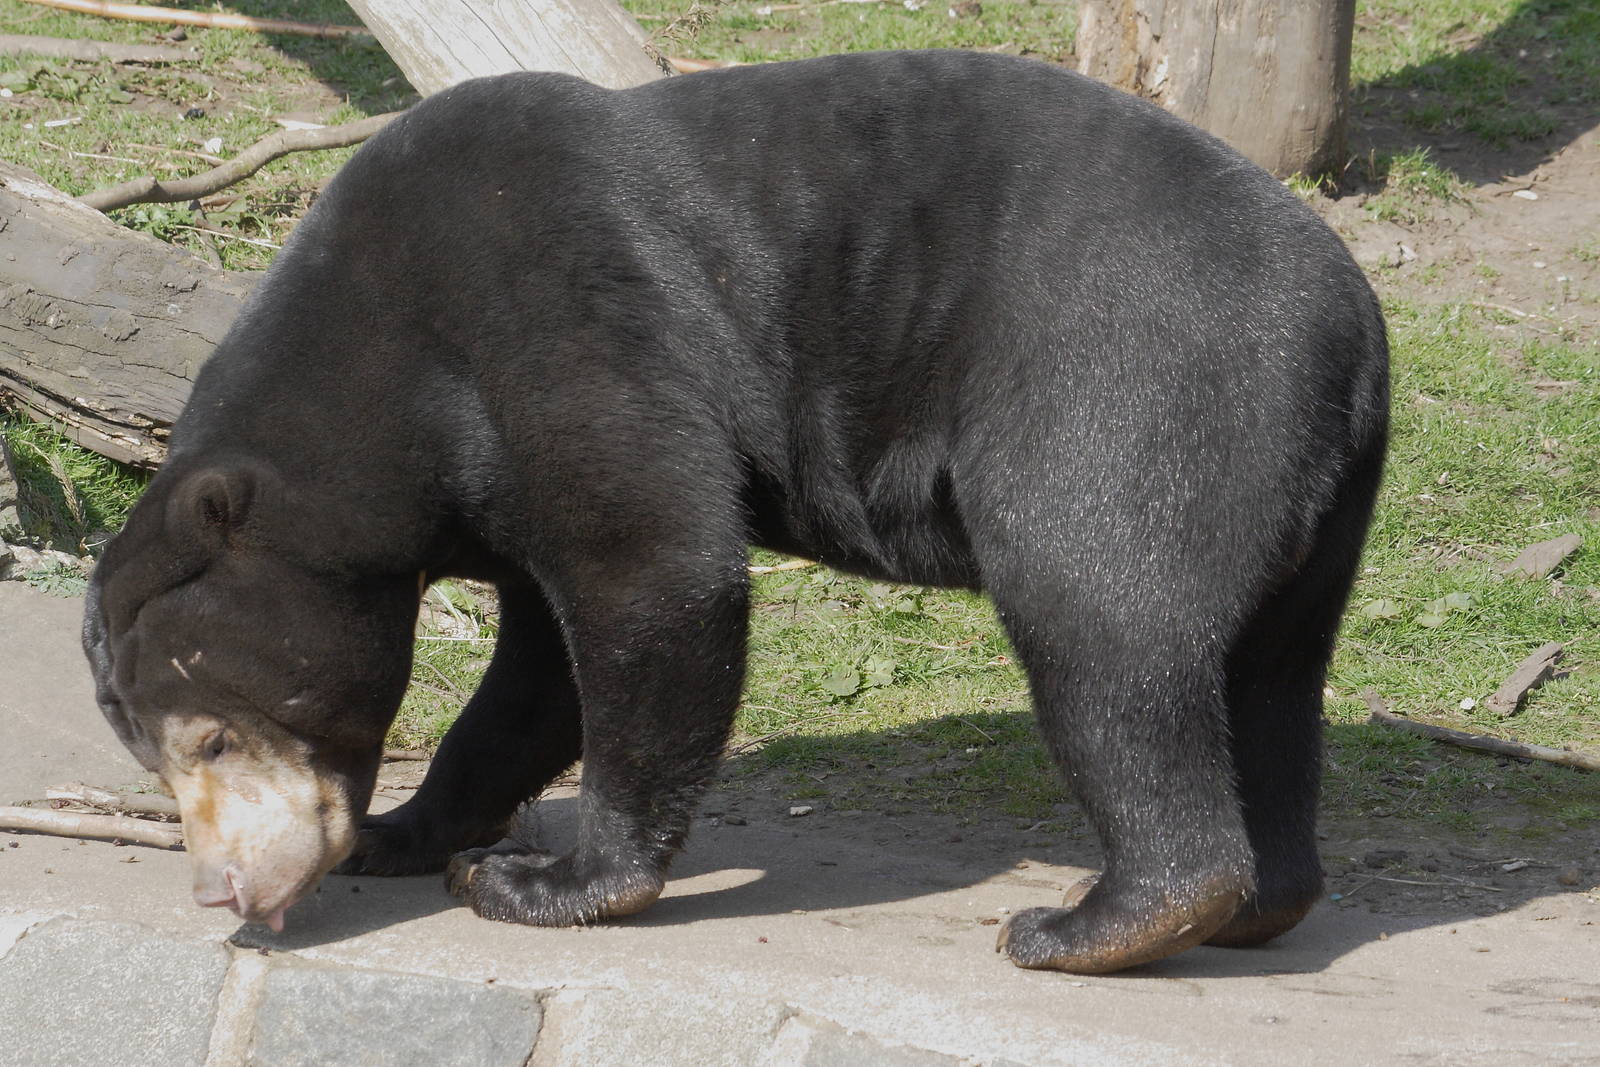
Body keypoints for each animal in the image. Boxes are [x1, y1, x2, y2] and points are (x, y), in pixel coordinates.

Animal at [84, 49, 1388, 974]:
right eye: (153, 752)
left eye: (210, 734)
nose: (221, 888)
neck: (383, 365)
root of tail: (1354, 324)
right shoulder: (499, 472)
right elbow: (537, 667)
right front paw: (411, 829)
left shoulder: (556, 326)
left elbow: (654, 574)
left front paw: (541, 881)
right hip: (1309, 500)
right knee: (1271, 678)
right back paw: (1255, 903)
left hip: (1135, 395)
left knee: (1105, 634)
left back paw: (1098, 920)